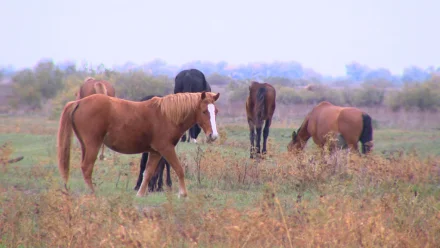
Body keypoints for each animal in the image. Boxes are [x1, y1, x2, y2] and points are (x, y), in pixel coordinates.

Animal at [57, 91, 220, 198]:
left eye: (216, 111)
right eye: (204, 111)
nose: (213, 136)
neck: (167, 115)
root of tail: (78, 102)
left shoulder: (155, 152)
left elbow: (147, 173)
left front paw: (140, 194)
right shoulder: (166, 149)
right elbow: (179, 169)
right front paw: (183, 194)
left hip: (85, 145)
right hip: (93, 145)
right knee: (86, 167)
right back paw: (92, 192)